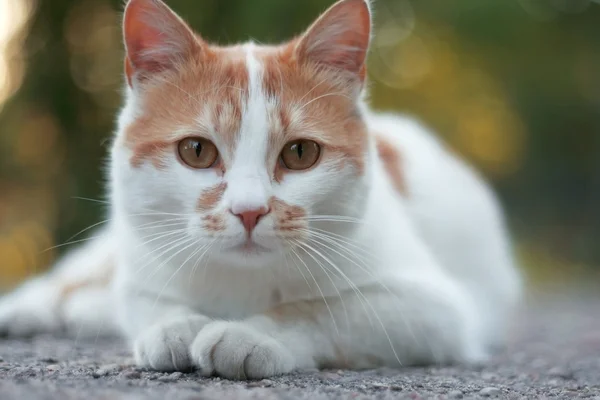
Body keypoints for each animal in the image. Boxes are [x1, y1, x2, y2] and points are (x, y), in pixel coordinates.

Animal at [0, 0, 520, 378]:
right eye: (196, 151)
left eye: (300, 153)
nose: (249, 211)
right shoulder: (141, 263)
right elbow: (148, 301)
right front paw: (176, 327)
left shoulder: (436, 311)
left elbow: (322, 310)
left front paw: (251, 336)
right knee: (69, 280)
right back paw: (28, 310)